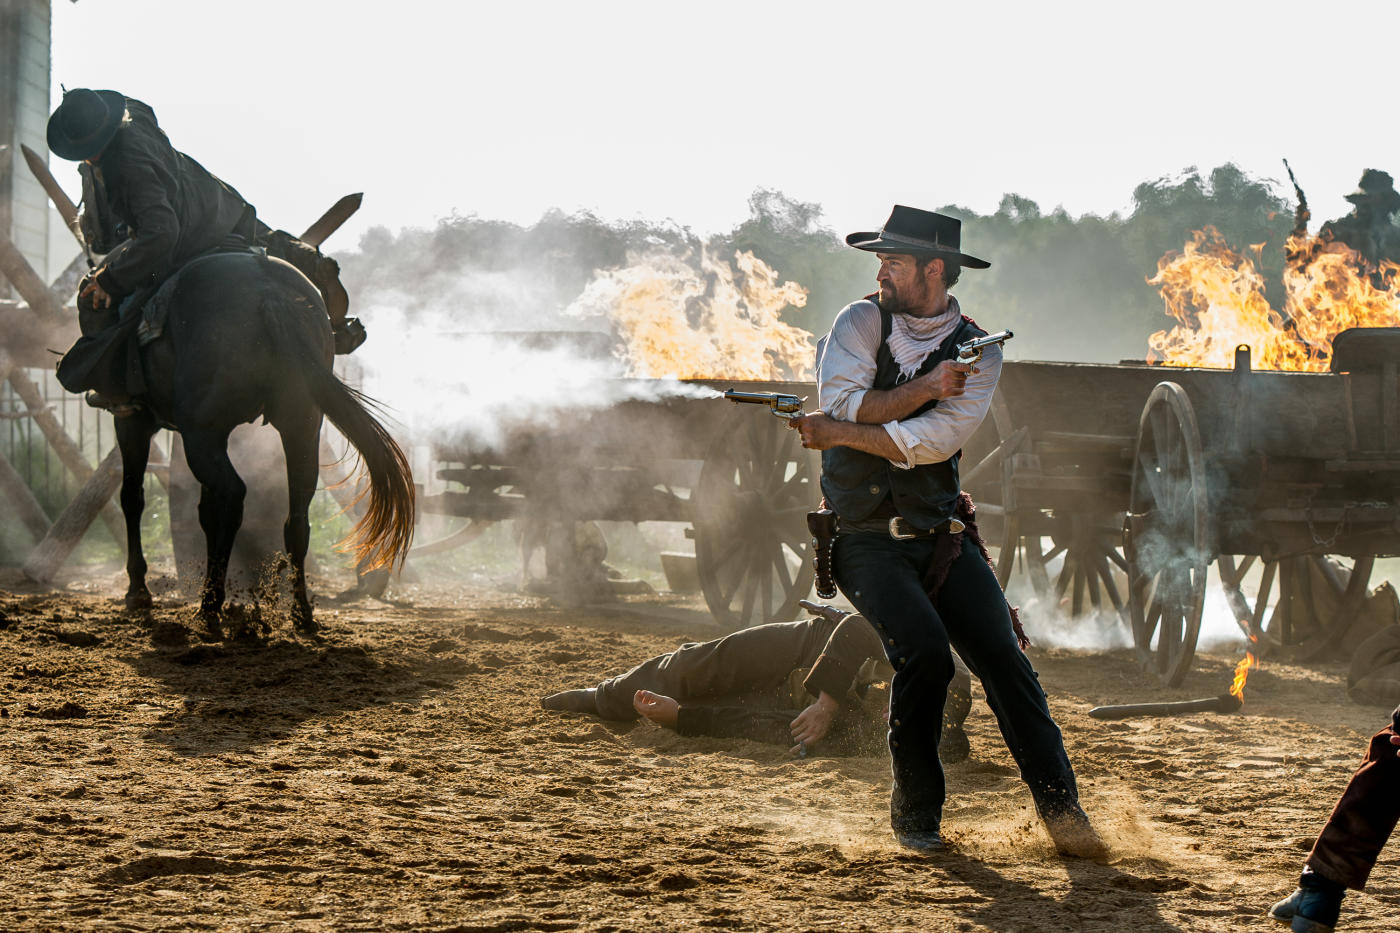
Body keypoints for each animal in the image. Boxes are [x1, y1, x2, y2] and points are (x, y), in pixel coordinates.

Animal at [113, 250, 414, 627]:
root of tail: (269, 292)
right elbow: (202, 512)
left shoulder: (134, 422)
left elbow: (132, 498)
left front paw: (137, 590)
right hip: (299, 428)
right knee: (295, 517)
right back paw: (301, 611)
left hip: (201, 436)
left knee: (231, 496)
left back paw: (210, 605)